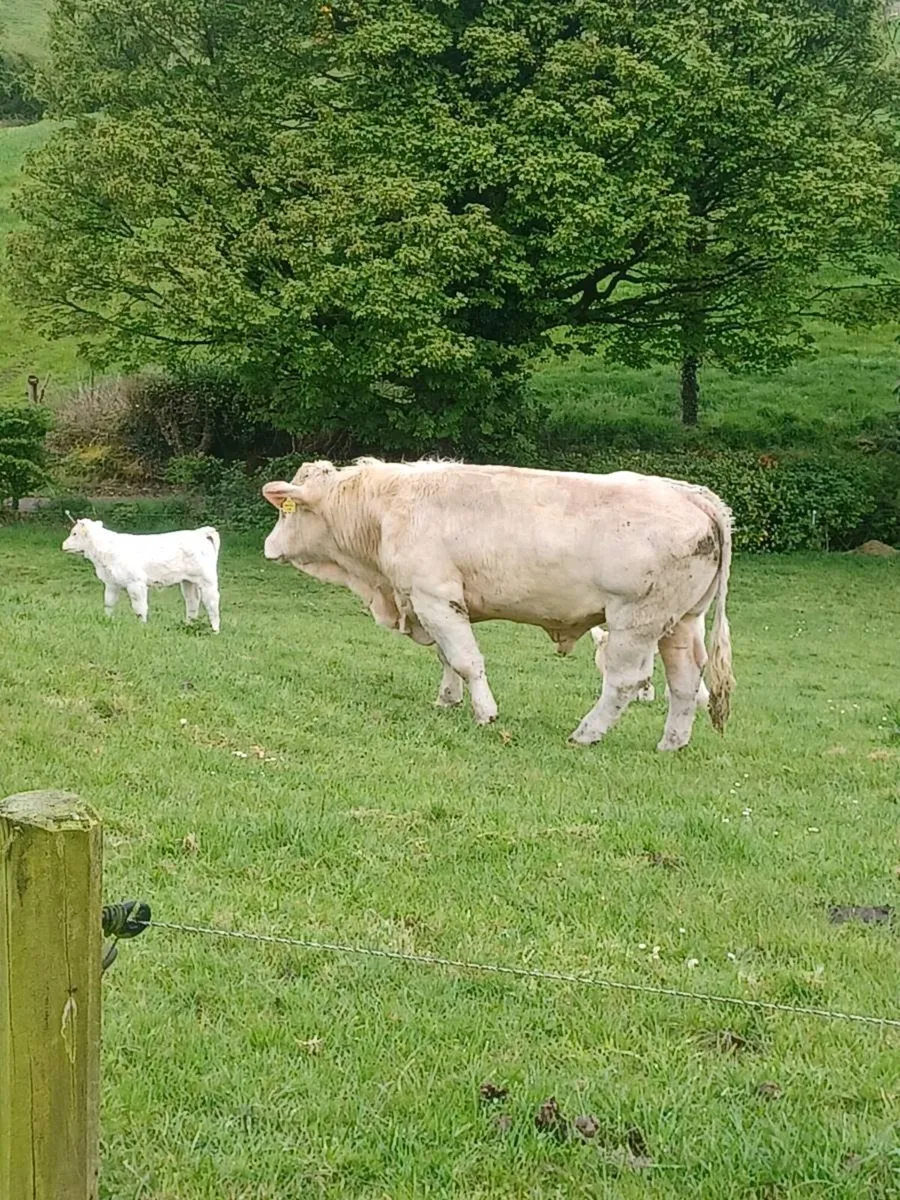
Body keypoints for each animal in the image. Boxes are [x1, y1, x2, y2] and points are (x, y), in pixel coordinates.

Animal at [62, 518, 221, 631]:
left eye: (74, 533)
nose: (63, 545)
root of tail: (199, 533)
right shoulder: (112, 583)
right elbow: (109, 604)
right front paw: (107, 620)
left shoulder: (136, 583)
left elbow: (139, 607)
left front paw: (142, 626)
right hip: (188, 581)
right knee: (192, 601)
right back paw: (189, 625)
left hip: (207, 580)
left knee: (212, 602)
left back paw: (215, 630)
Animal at [262, 458, 734, 750]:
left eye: (286, 513)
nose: (268, 547)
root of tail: (691, 493)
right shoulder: (434, 602)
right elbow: (447, 658)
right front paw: (448, 700)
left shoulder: (434, 595)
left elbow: (466, 659)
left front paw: (484, 712)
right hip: (680, 622)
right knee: (685, 681)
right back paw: (671, 743)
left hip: (635, 621)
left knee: (625, 682)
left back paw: (586, 733)